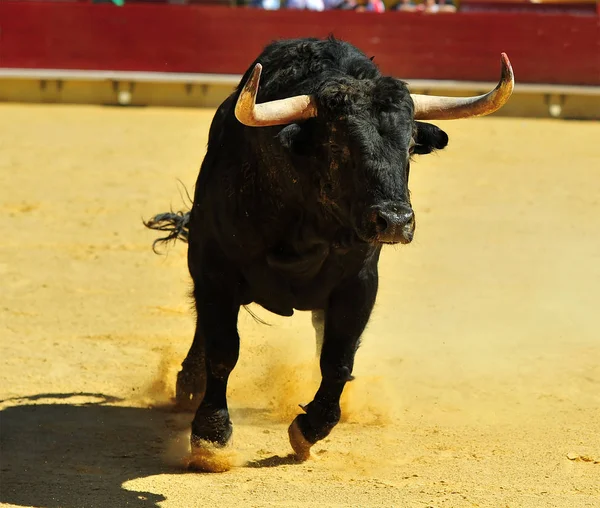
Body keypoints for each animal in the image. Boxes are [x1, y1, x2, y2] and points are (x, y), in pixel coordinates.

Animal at [144, 34, 510, 464]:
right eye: (339, 147)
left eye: (409, 147)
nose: (395, 221)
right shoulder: (215, 267)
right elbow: (223, 350)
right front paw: (211, 437)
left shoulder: (360, 284)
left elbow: (337, 358)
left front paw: (310, 427)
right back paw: (188, 385)